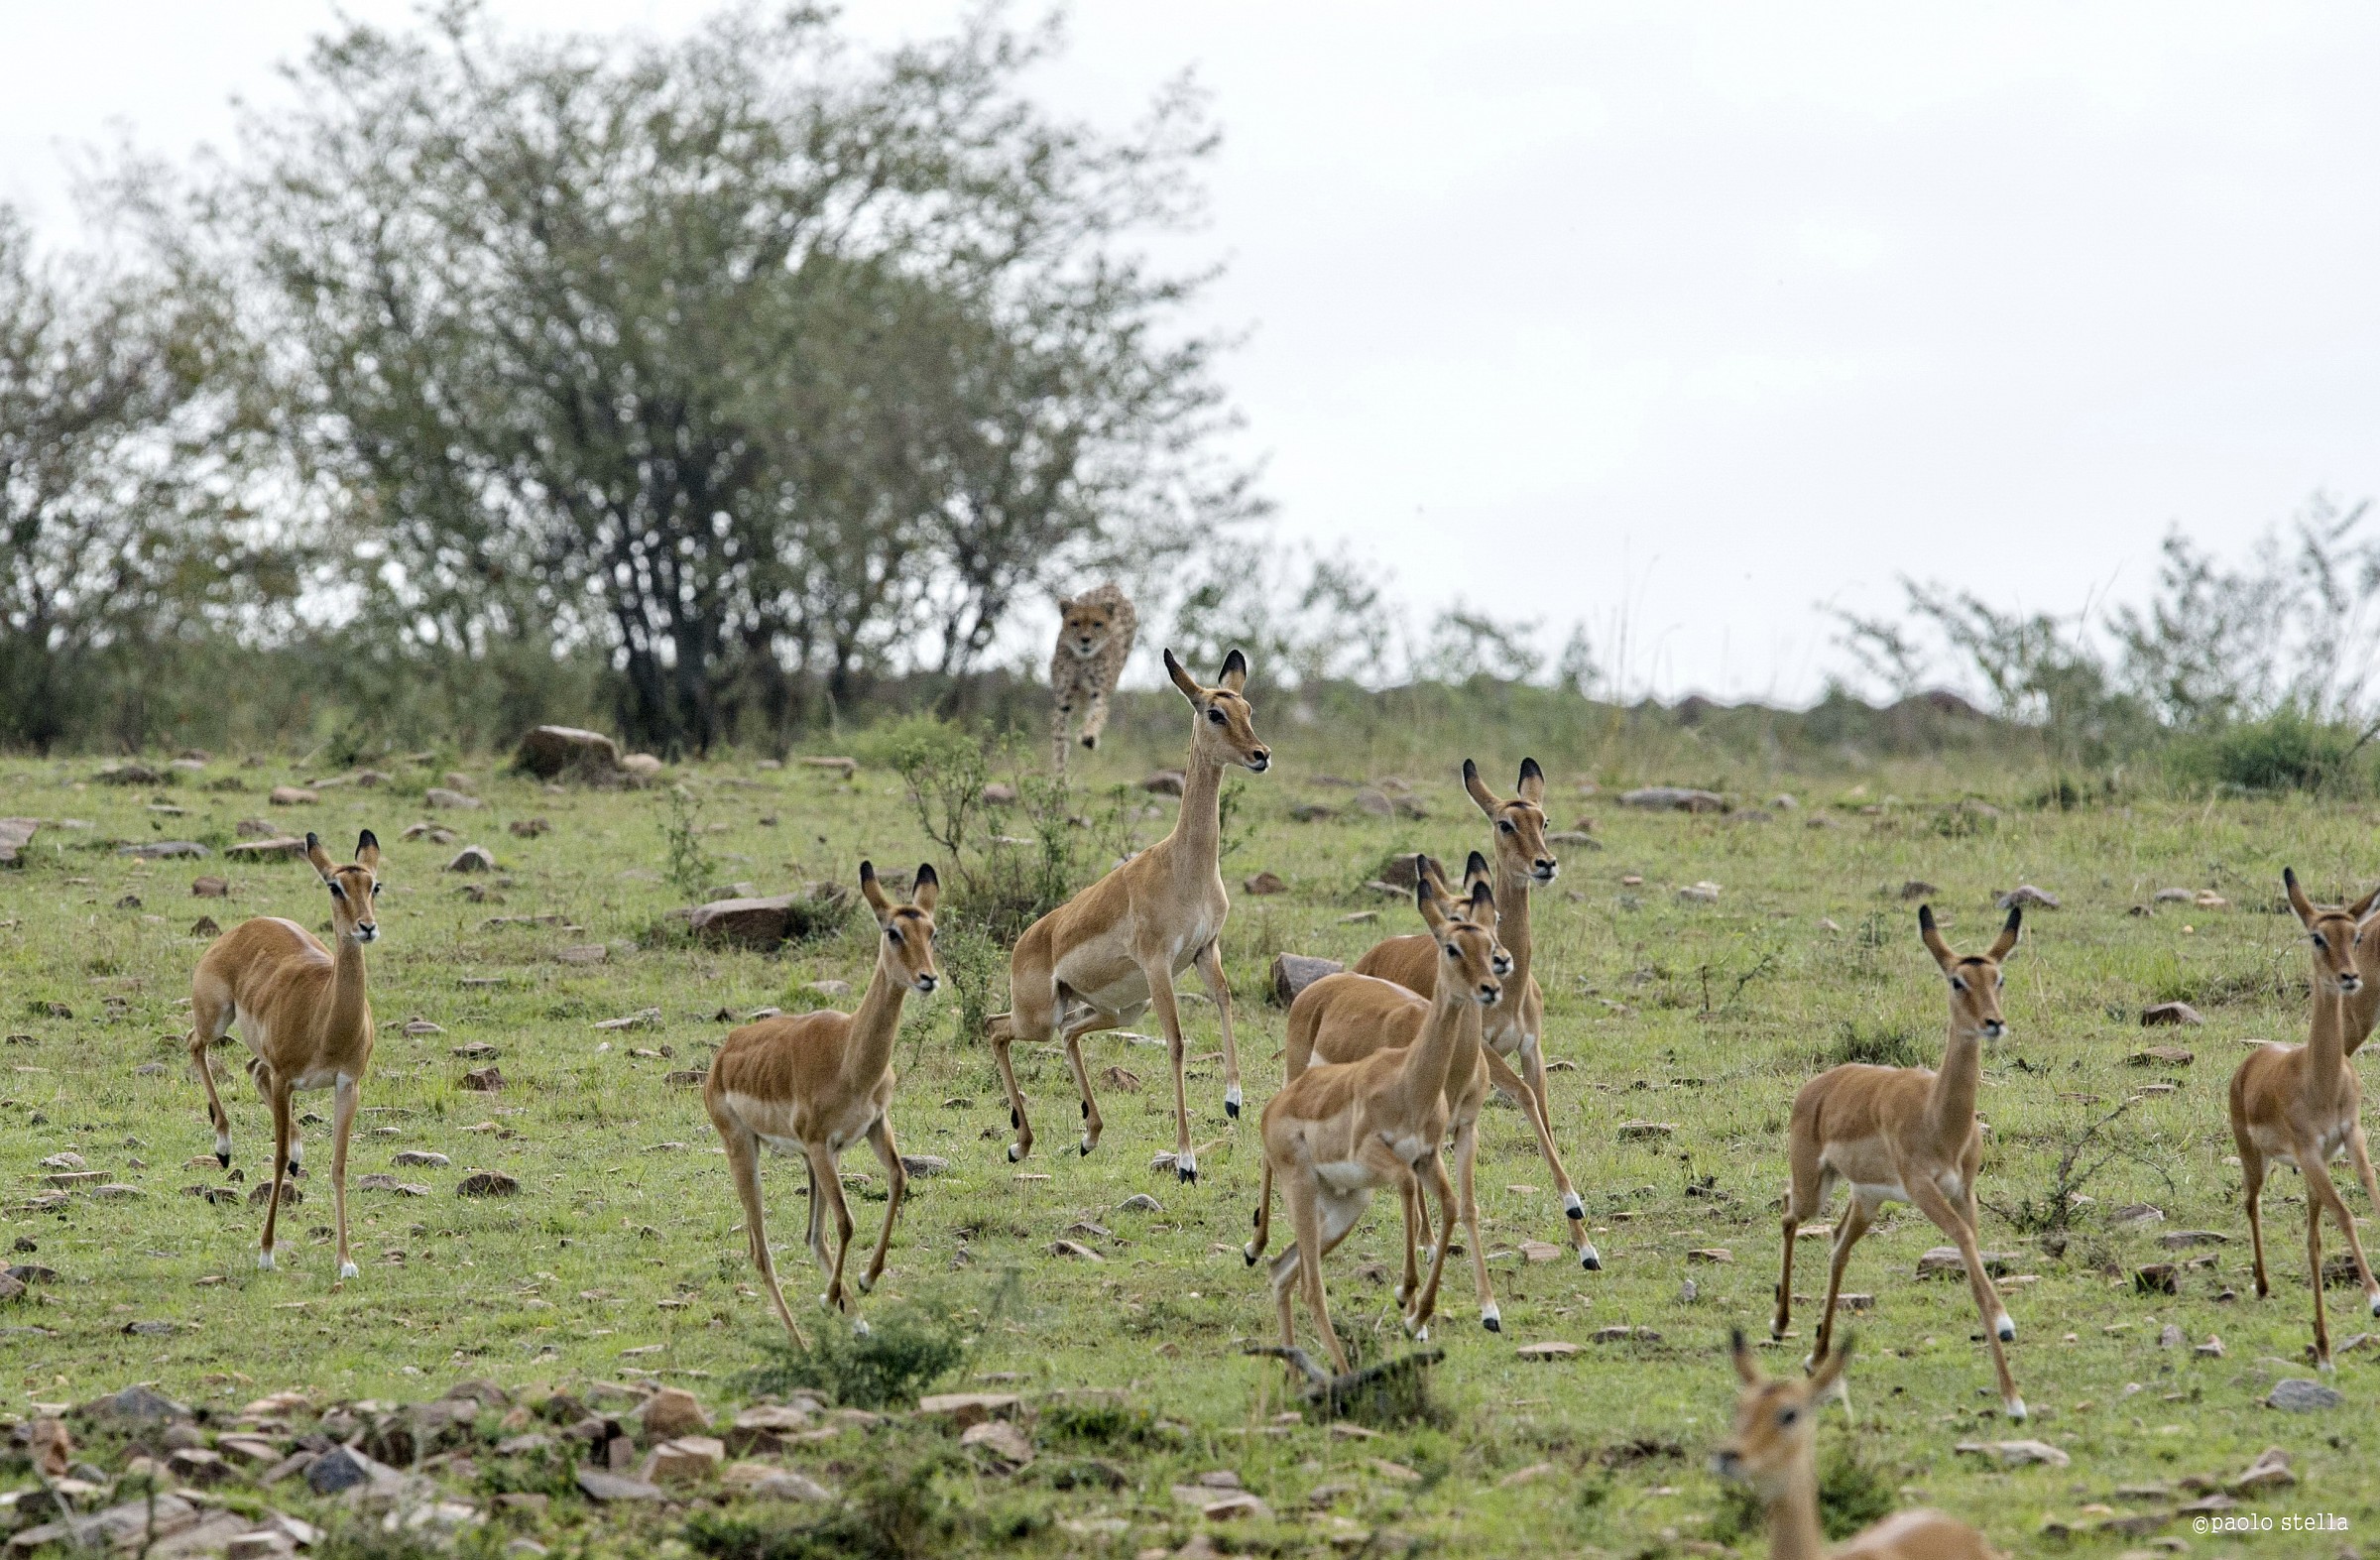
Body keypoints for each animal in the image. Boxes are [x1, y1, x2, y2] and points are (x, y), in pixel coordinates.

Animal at [1048, 583, 1137, 774]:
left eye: (1097, 624)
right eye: (1075, 623)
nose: (1085, 640)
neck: (1083, 660)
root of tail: (1111, 585)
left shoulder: (1099, 692)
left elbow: (1098, 714)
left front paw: (1088, 736)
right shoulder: (1063, 700)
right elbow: (1060, 742)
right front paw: (1059, 777)